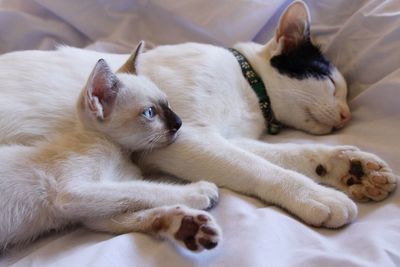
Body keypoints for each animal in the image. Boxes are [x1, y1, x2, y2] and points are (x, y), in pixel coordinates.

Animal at [0, 43, 222, 253]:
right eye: (150, 113)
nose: (179, 122)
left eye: (168, 104)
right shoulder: (72, 193)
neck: (120, 152)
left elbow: (140, 212)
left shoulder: (93, 215)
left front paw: (187, 227)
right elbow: (143, 189)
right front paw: (198, 191)